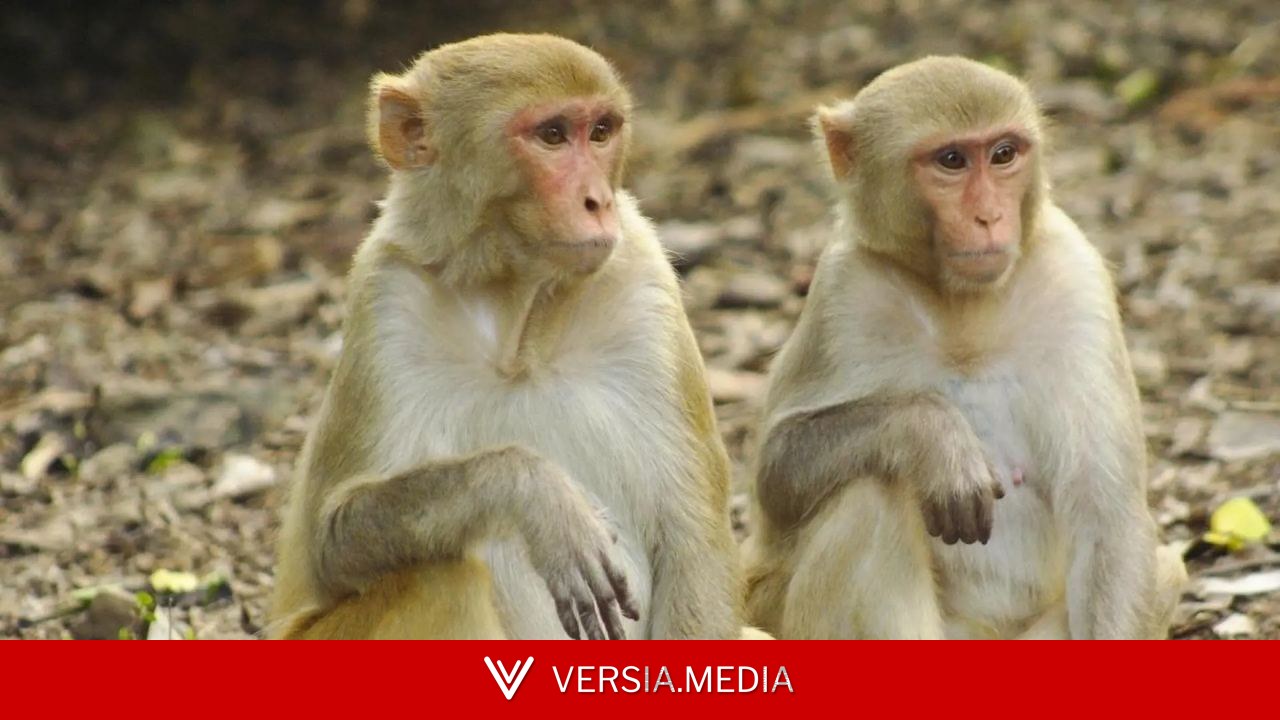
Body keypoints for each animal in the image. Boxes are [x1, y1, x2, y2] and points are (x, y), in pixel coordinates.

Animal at [267, 34, 749, 640]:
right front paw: (532, 492)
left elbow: (692, 539)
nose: (598, 201)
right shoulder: (384, 297)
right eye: (552, 136)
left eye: (600, 131)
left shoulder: (645, 281)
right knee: (443, 578)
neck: (519, 321)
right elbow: (332, 540)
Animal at [742, 56, 1186, 640]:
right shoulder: (844, 291)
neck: (964, 309)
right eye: (951, 160)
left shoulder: (1074, 277)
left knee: (1165, 568)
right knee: (871, 494)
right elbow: (777, 469)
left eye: (1003, 154)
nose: (989, 217)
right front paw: (933, 436)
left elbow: (1106, 518)